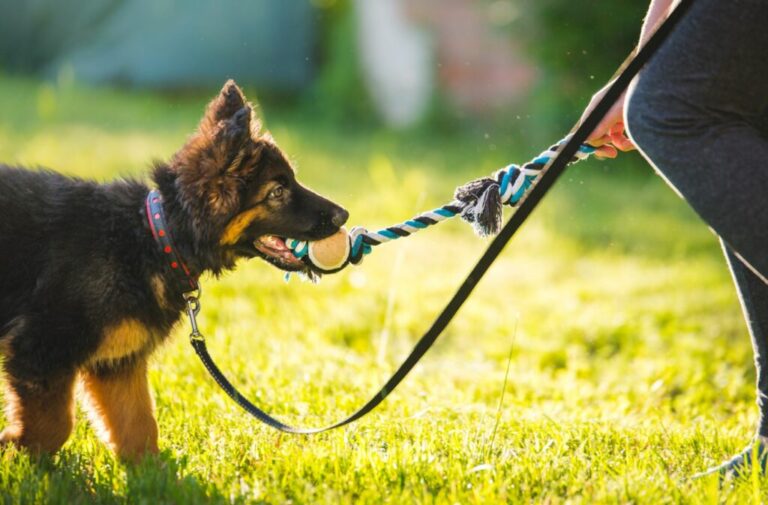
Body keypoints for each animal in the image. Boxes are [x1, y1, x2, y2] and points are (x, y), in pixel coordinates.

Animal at [0, 79, 348, 460]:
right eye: (277, 191)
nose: (344, 215)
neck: (153, 235)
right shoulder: (41, 348)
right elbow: (54, 427)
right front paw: (15, 449)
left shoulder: (118, 363)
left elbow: (139, 428)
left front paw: (151, 471)